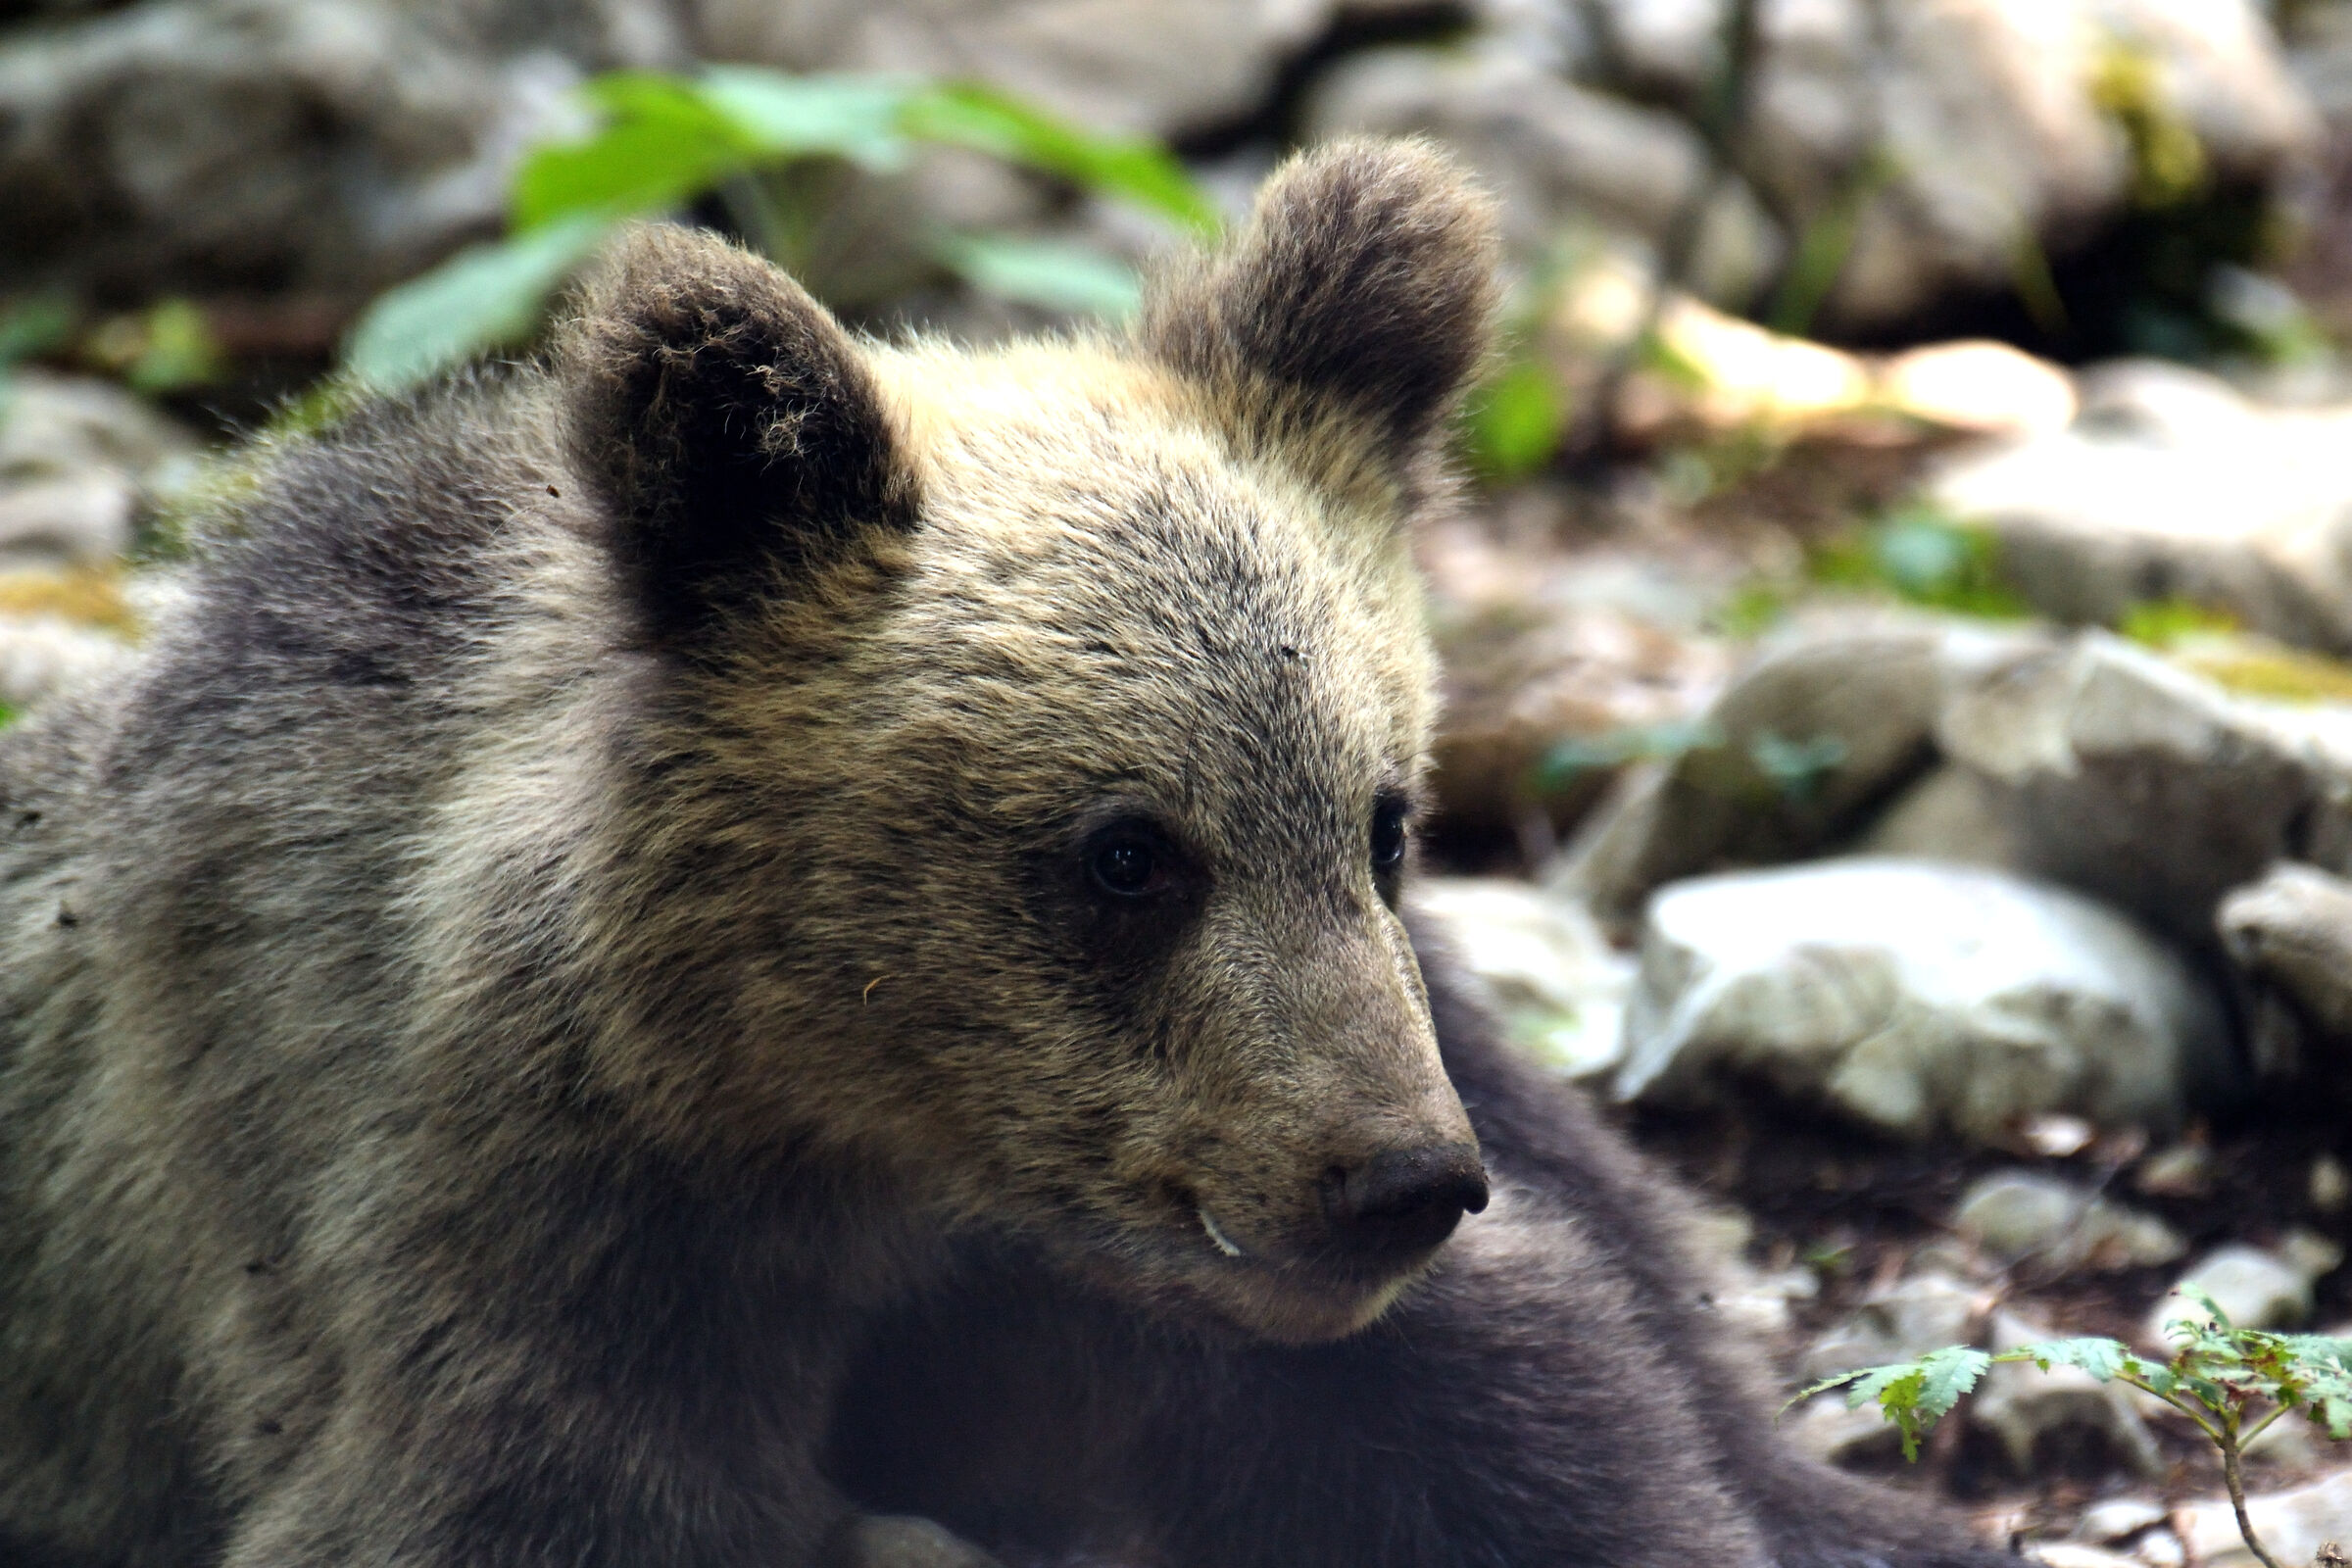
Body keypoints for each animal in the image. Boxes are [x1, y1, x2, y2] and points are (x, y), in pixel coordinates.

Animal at [0, 138, 2012, 1568]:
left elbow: (1541, 1431)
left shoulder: (1202, 1268)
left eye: (1382, 817)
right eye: (1127, 853)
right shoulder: (528, 1231)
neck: (874, 1147)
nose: (1396, 1182)